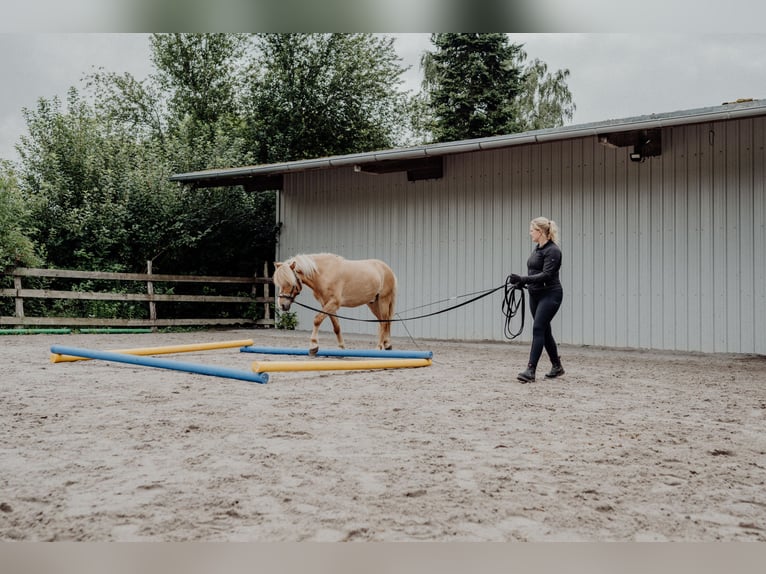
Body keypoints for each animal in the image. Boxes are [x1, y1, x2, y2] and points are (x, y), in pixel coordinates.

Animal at [272, 255, 400, 356]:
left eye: (290, 282)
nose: (282, 305)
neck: (324, 274)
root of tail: (387, 269)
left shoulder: (334, 303)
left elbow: (317, 320)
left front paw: (313, 346)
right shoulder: (327, 304)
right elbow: (336, 326)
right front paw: (341, 348)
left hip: (383, 300)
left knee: (384, 322)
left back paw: (379, 347)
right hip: (373, 303)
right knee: (383, 322)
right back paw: (387, 345)